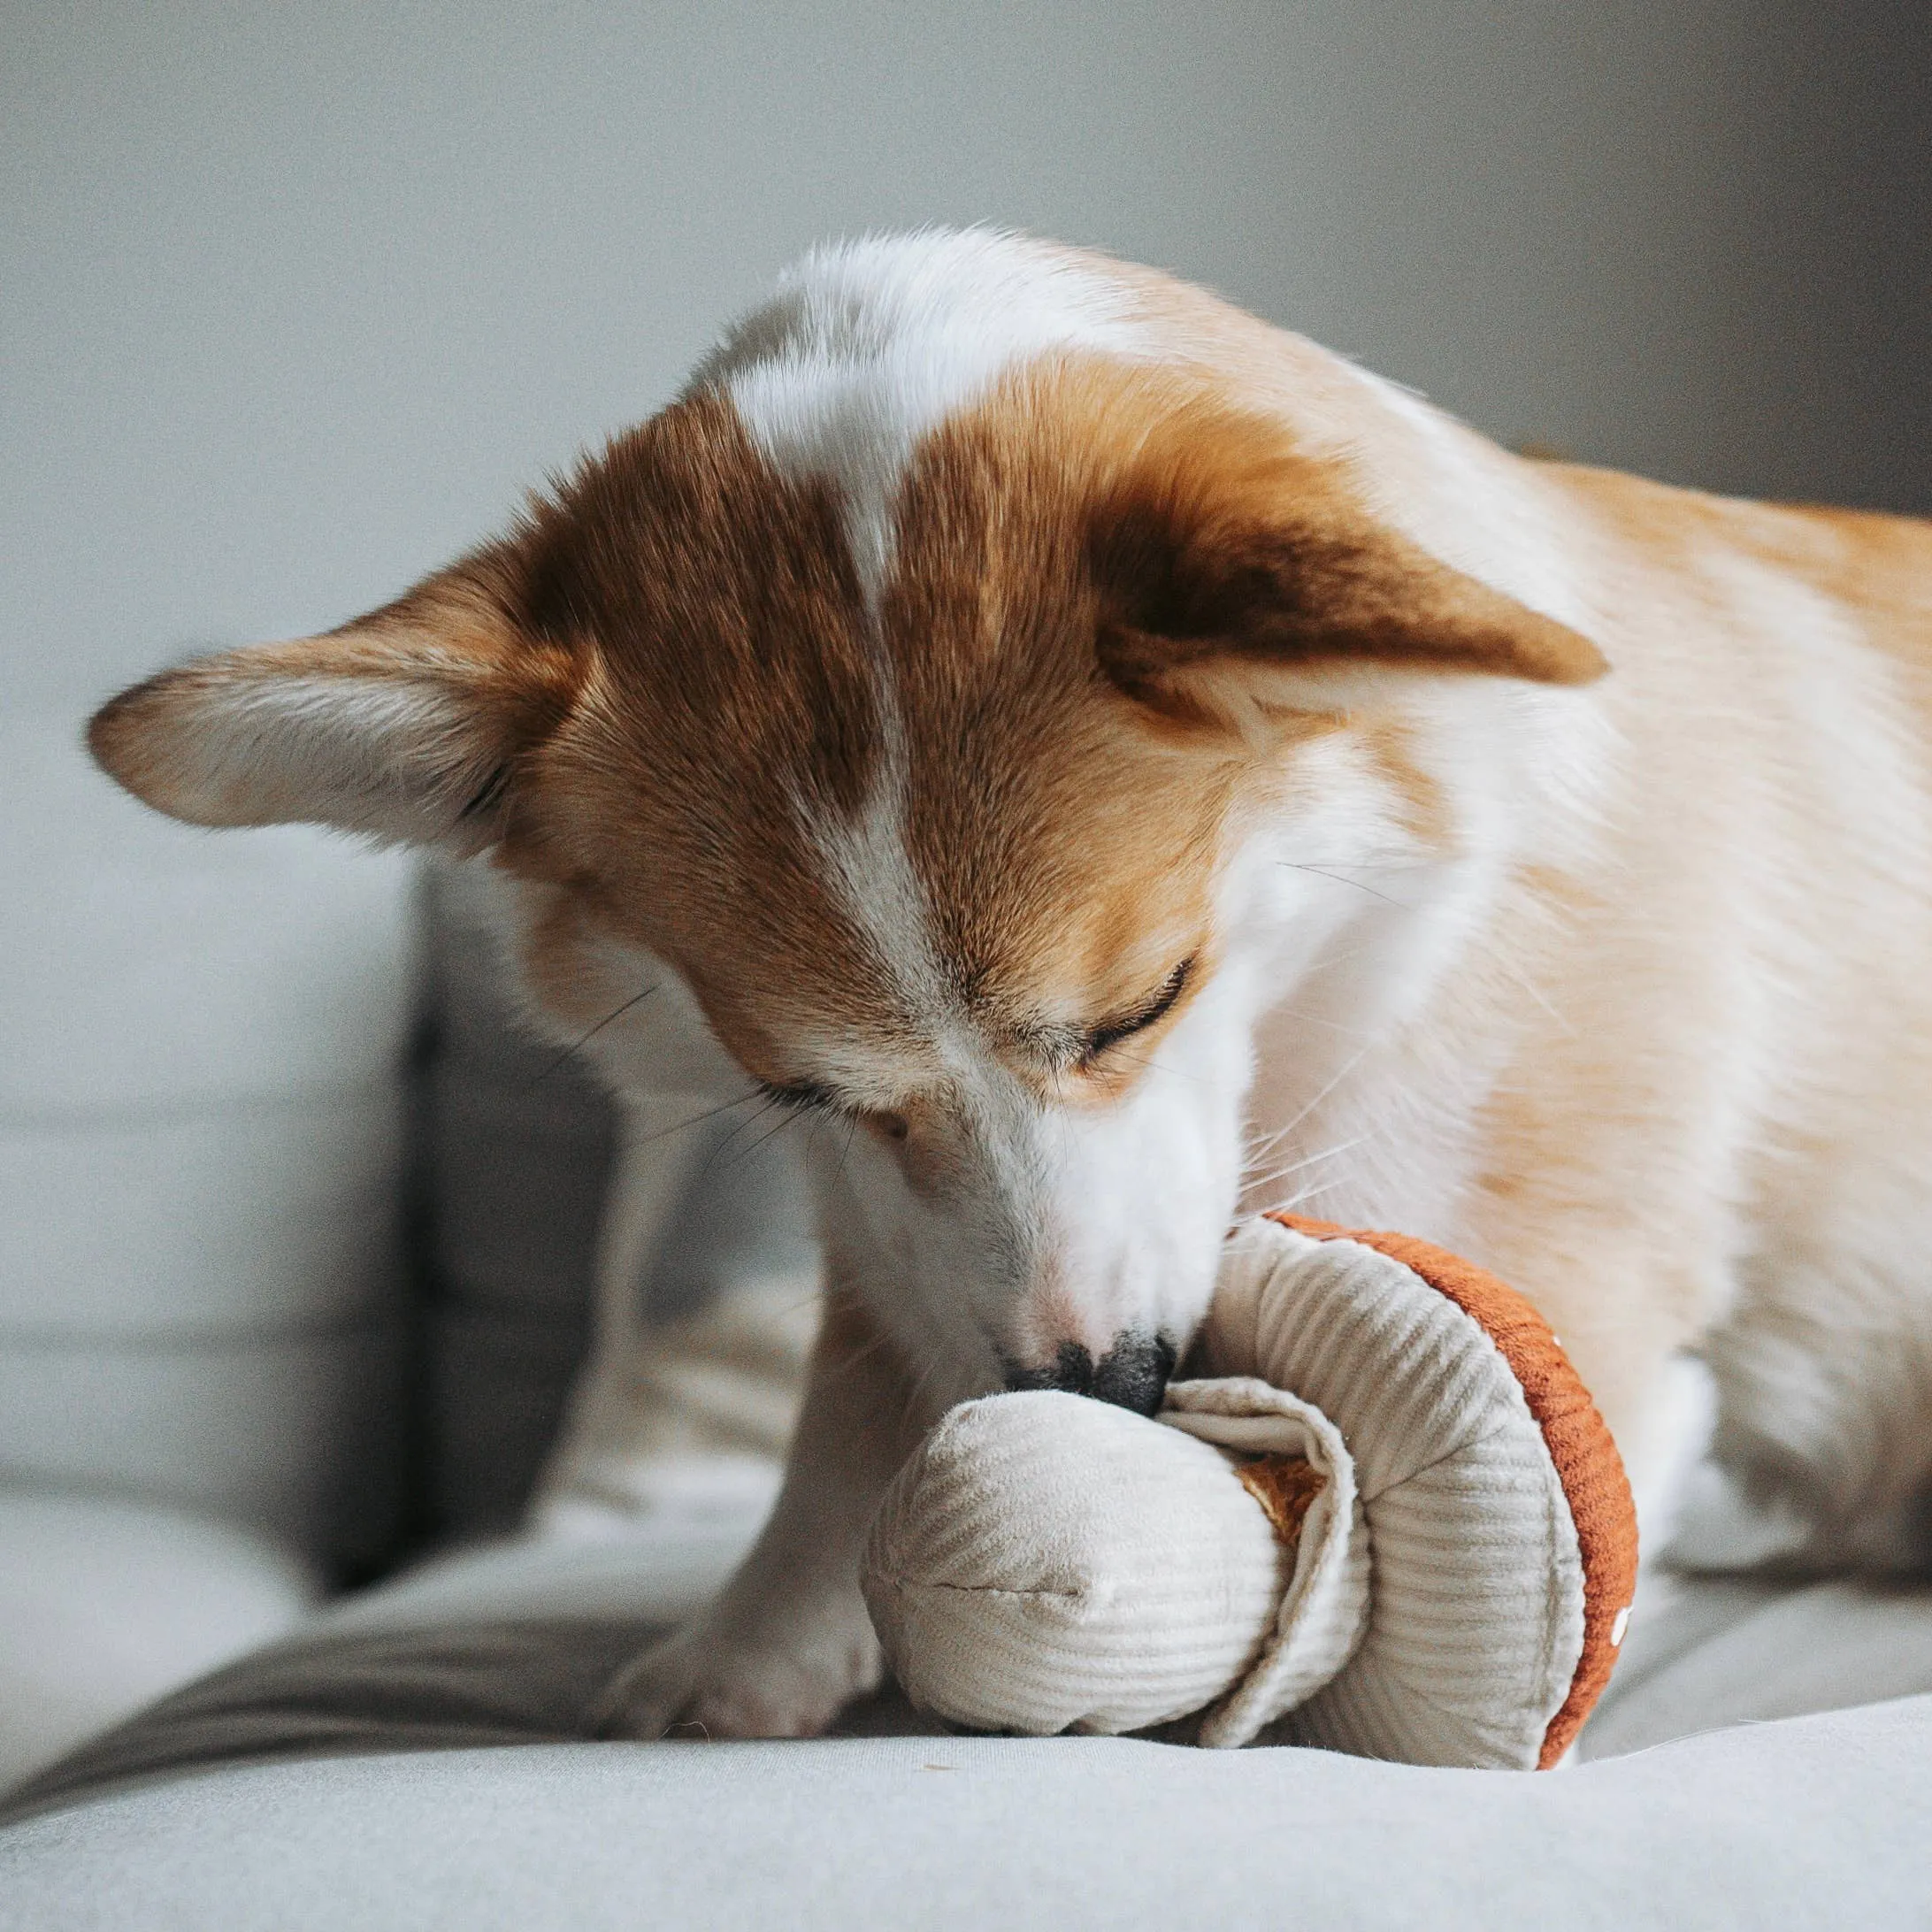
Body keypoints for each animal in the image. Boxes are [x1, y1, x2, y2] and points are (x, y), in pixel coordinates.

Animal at [87, 226, 1932, 1738]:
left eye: (1144, 1000)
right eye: (801, 1088)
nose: (1100, 1386)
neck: (1334, 970)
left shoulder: (1522, 1266)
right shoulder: (876, 1214)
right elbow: (850, 1411)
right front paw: (749, 1649)